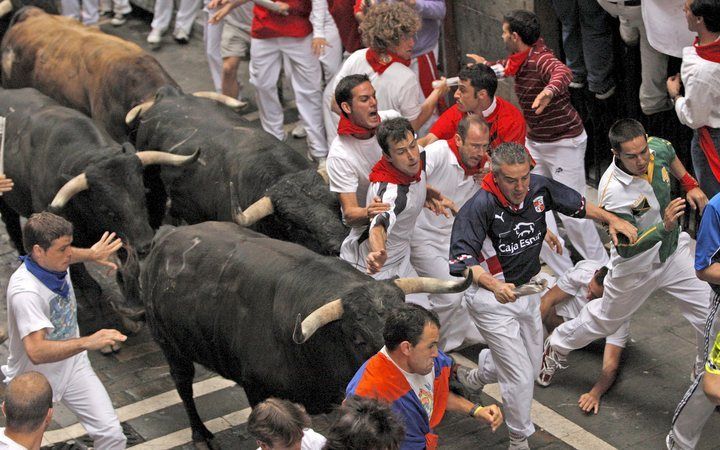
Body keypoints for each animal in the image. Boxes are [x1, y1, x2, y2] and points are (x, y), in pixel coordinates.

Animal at [144, 222, 472, 446]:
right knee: (183, 385)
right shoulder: (257, 389)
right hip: (169, 344)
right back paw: (200, 434)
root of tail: (168, 235)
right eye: (358, 338)